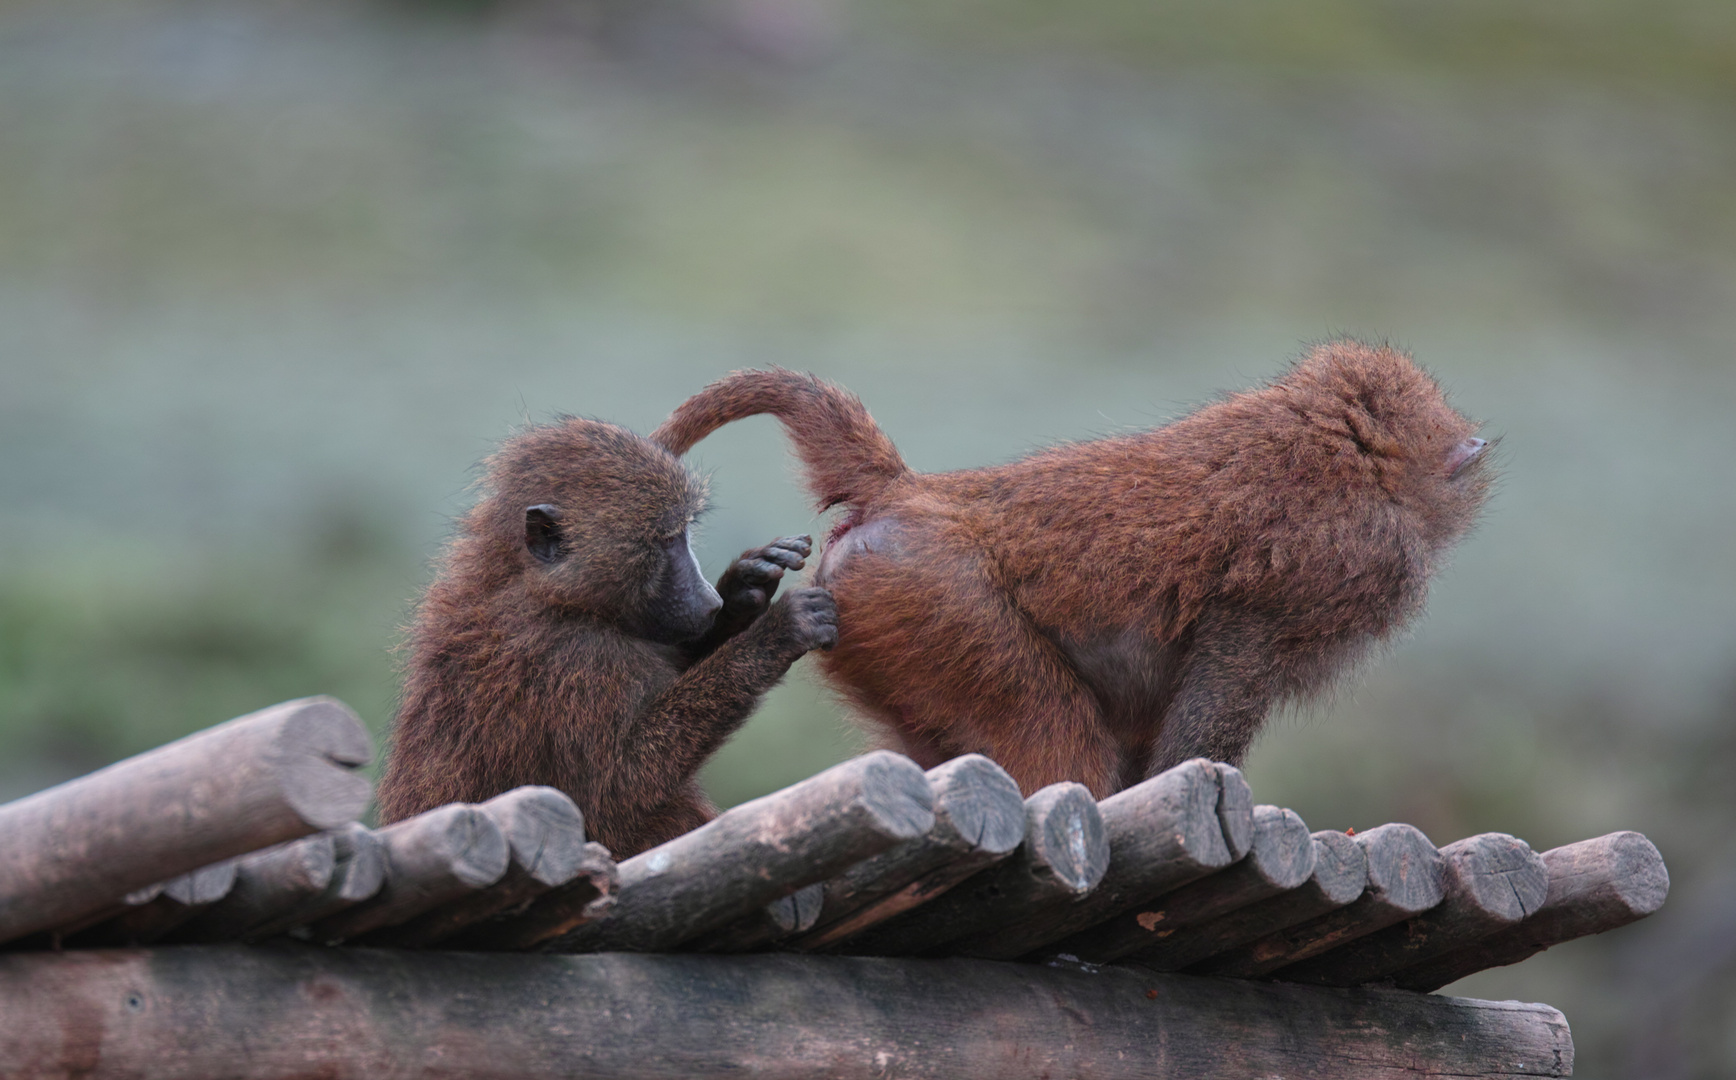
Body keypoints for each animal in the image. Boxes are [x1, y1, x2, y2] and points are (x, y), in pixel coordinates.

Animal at [380, 418, 840, 857]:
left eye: (684, 534)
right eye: (667, 540)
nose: (709, 600)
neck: (550, 593)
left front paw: (746, 586)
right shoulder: (573, 659)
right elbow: (615, 791)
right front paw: (778, 631)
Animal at [652, 342, 1492, 798]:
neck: (1340, 452)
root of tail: (910, 490)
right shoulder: (1331, 572)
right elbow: (1214, 700)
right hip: (929, 595)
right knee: (1053, 737)